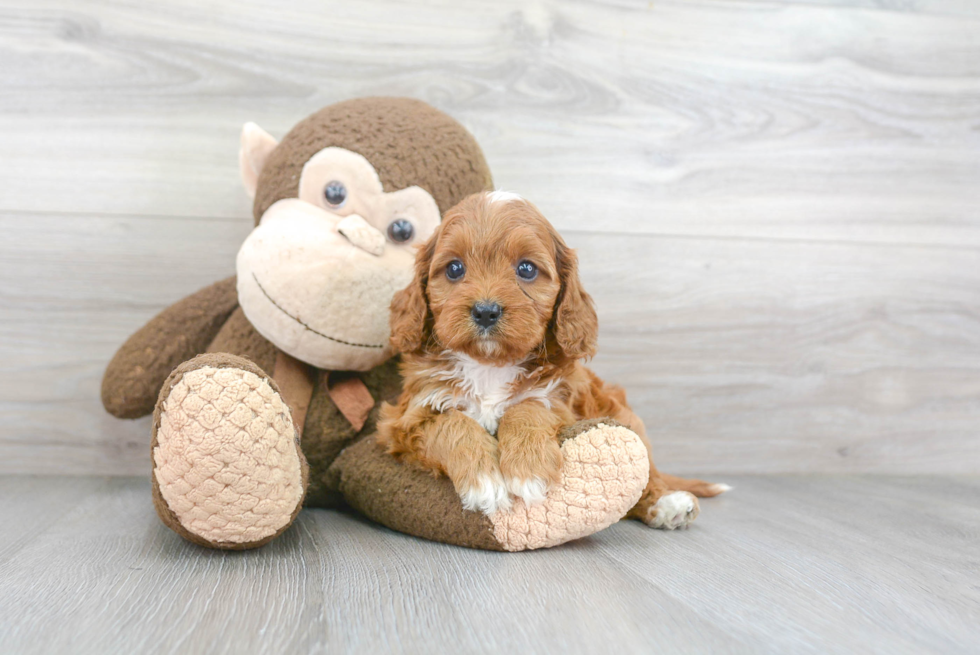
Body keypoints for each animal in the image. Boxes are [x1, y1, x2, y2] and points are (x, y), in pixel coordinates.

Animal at [378, 192, 724, 532]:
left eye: (527, 269)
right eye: (454, 269)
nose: (486, 311)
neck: (490, 366)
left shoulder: (560, 398)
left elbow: (527, 408)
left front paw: (527, 470)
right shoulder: (407, 419)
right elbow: (452, 423)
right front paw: (483, 480)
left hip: (623, 416)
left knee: (648, 472)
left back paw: (666, 503)